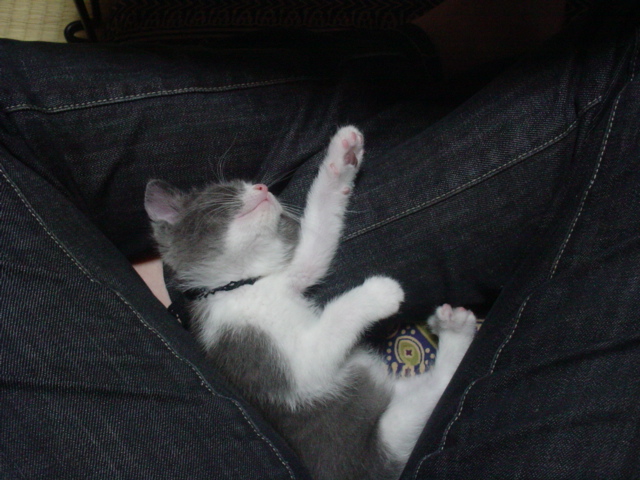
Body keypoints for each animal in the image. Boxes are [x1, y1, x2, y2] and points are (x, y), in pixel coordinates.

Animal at [144, 126, 477, 480]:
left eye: (249, 184)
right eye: (228, 191)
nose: (262, 187)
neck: (244, 287)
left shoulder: (290, 275)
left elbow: (319, 234)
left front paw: (341, 159)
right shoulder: (255, 355)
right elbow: (323, 341)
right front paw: (378, 293)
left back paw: (453, 329)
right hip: (377, 443)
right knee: (434, 393)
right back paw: (455, 334)